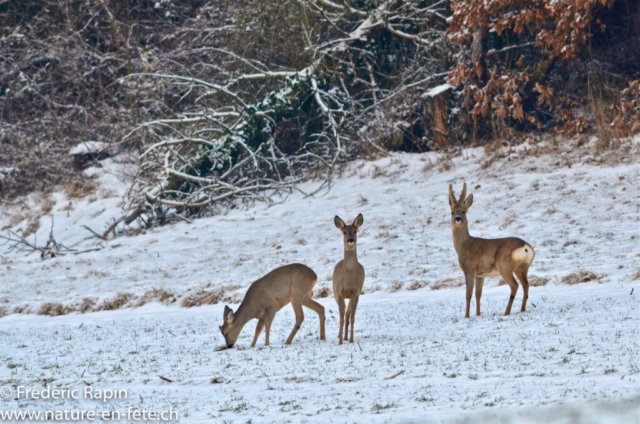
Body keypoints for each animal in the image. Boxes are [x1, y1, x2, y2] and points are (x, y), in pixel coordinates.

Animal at [330, 214, 364, 346]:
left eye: (355, 231)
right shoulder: (340, 292)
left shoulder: (356, 292)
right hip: (335, 293)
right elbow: (341, 318)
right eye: (344, 232)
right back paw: (340, 336)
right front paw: (340, 342)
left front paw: (350, 340)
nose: (350, 240)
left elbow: (352, 317)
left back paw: (345, 337)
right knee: (344, 314)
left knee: (348, 314)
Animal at [450, 182, 536, 318]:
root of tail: (525, 246)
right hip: (522, 267)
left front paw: (466, 316)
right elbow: (478, 294)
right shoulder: (480, 274)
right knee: (526, 285)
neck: (464, 245)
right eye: (452, 212)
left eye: (464, 211)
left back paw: (506, 313)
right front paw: (478, 314)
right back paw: (522, 309)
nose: (458, 219)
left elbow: (468, 294)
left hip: (505, 266)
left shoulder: (469, 269)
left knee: (515, 285)